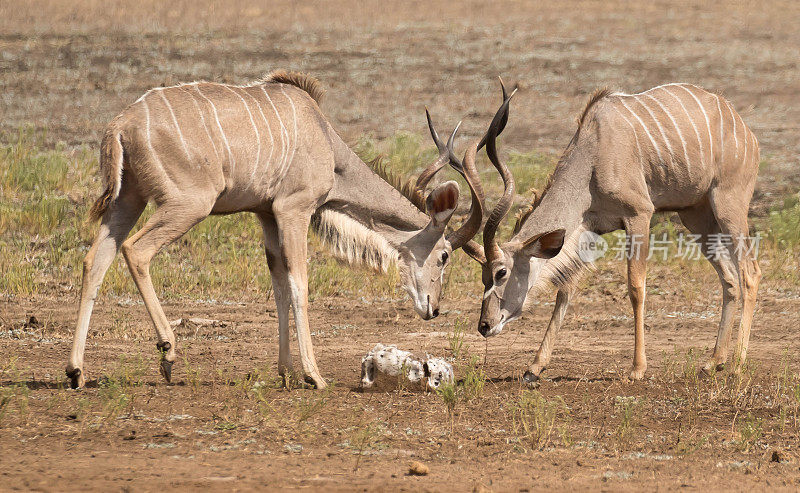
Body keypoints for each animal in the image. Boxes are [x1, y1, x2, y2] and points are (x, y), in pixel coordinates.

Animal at [65, 71, 490, 390]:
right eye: (444, 256)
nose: (433, 309)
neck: (326, 141)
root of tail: (120, 125)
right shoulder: (293, 210)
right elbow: (299, 284)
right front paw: (313, 375)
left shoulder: (266, 215)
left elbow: (279, 286)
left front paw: (285, 372)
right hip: (187, 205)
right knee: (136, 251)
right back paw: (168, 352)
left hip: (128, 201)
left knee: (94, 261)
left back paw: (76, 372)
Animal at [476, 83, 764, 380]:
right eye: (483, 275)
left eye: (501, 273)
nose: (484, 325)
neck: (594, 153)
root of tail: (745, 131)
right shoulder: (590, 230)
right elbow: (565, 290)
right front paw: (535, 367)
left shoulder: (639, 215)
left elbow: (636, 287)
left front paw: (637, 368)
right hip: (696, 219)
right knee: (729, 280)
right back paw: (714, 361)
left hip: (729, 209)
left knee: (750, 273)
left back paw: (737, 364)